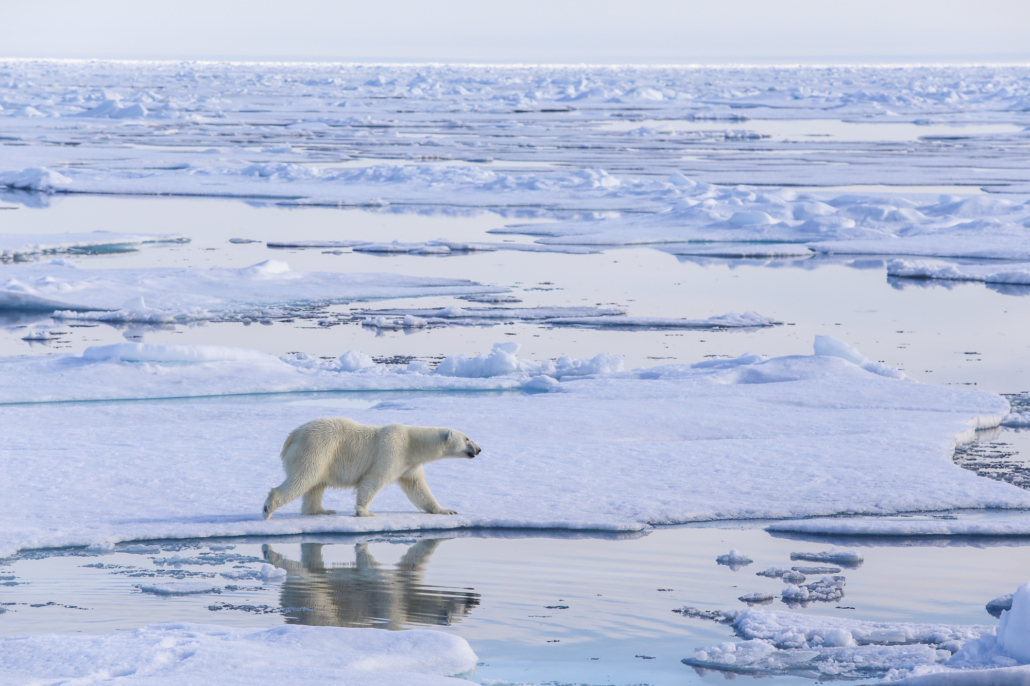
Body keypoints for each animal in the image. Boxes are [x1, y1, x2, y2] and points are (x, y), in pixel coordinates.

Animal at [261, 416, 477, 519]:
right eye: (467, 438)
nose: (479, 449)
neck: (411, 443)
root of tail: (292, 436)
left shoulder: (409, 465)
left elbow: (418, 488)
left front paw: (446, 510)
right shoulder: (392, 451)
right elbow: (374, 480)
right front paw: (365, 512)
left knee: (315, 486)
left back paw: (322, 511)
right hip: (317, 450)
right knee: (304, 478)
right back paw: (268, 507)